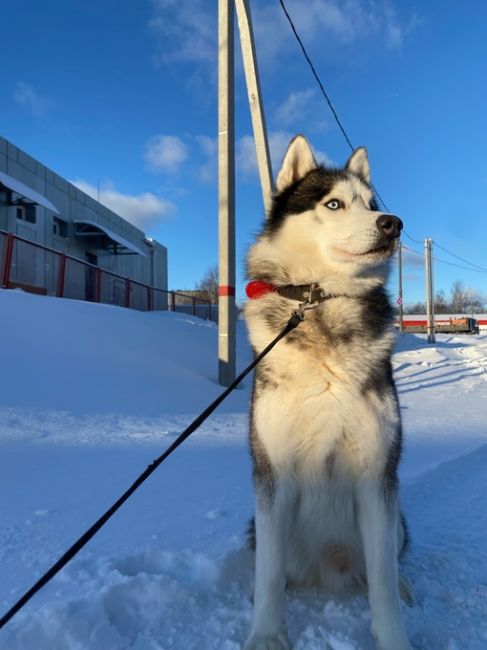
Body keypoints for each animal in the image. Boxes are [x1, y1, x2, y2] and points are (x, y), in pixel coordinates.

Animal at [244, 137, 412, 648]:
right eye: (334, 204)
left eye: (372, 204)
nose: (393, 223)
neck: (322, 305)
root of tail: (329, 569)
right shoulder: (272, 477)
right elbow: (269, 573)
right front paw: (266, 634)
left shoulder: (377, 477)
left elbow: (382, 580)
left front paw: (394, 637)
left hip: (397, 517)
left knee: (390, 562)